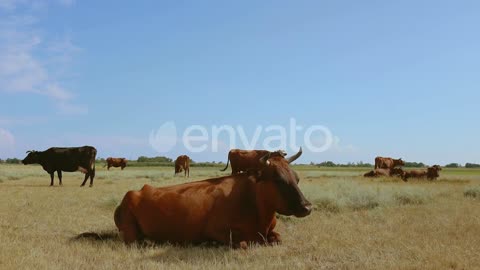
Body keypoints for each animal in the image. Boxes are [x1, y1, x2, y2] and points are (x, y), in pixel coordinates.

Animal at [115, 149, 314, 248]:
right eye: (277, 179)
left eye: (297, 178)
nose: (307, 207)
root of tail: (136, 191)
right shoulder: (216, 230)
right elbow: (242, 243)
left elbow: (278, 238)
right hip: (130, 231)